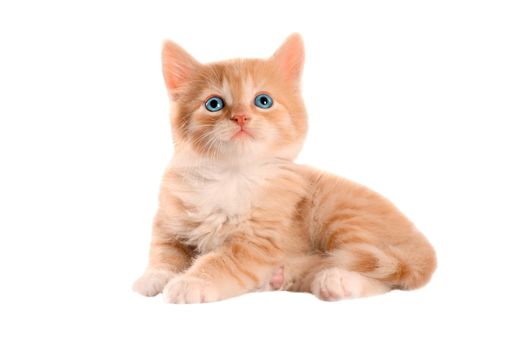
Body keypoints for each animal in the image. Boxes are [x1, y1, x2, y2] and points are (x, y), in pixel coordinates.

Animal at [133, 33, 438, 304]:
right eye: (214, 104)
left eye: (263, 101)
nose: (241, 117)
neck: (231, 175)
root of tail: (420, 243)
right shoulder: (169, 220)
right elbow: (164, 251)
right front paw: (154, 276)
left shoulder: (258, 241)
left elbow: (222, 261)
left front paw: (191, 282)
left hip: (343, 216)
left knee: (386, 279)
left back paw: (338, 281)